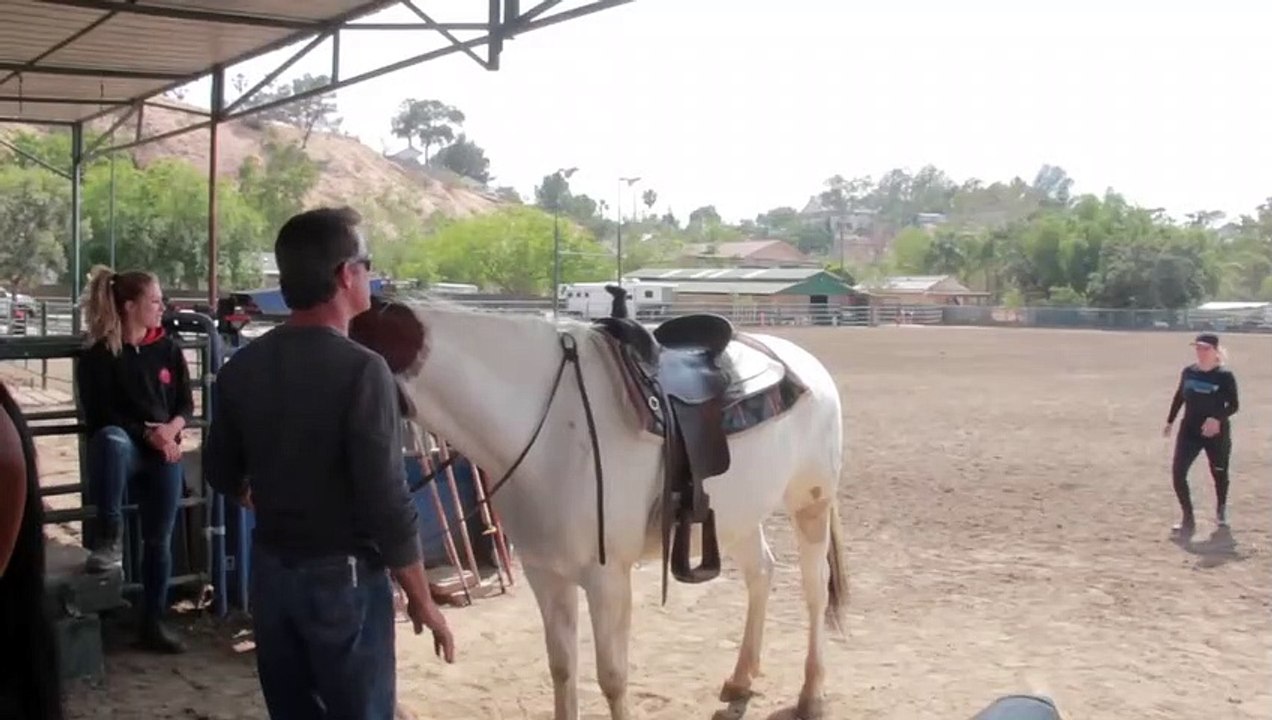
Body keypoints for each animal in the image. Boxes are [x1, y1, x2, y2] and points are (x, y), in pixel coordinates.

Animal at [350, 295, 849, 720]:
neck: (547, 428)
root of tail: (806, 364)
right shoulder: (545, 573)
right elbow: (562, 668)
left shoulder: (607, 579)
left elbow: (612, 678)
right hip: (739, 516)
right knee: (761, 574)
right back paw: (741, 678)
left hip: (810, 503)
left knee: (815, 590)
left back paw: (812, 694)